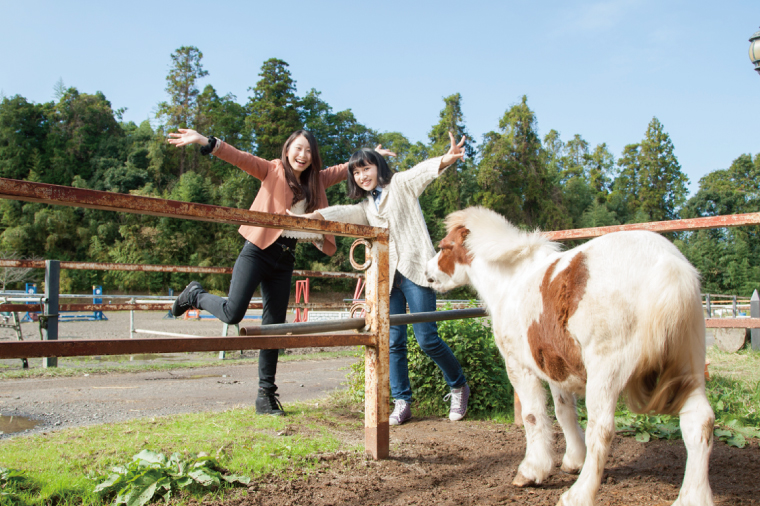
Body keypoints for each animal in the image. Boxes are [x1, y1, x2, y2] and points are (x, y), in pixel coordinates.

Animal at [424, 207, 716, 506]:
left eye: (444, 246)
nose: (427, 272)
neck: (511, 281)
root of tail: (668, 266)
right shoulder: (555, 366)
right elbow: (564, 412)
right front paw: (573, 459)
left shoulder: (519, 366)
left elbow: (533, 415)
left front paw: (532, 470)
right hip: (688, 366)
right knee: (699, 422)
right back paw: (693, 497)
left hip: (606, 371)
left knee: (602, 428)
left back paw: (578, 494)